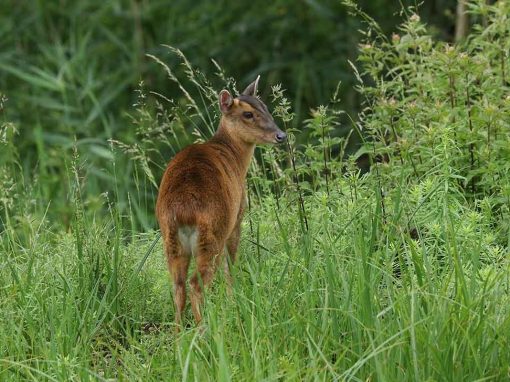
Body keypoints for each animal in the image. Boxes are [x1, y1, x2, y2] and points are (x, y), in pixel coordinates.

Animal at [155, 75, 286, 328]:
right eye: (248, 114)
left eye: (265, 107)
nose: (281, 136)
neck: (233, 155)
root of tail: (184, 211)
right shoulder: (237, 217)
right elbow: (230, 267)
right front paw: (233, 301)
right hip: (212, 234)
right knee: (196, 284)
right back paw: (204, 329)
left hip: (171, 241)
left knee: (178, 286)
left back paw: (179, 334)